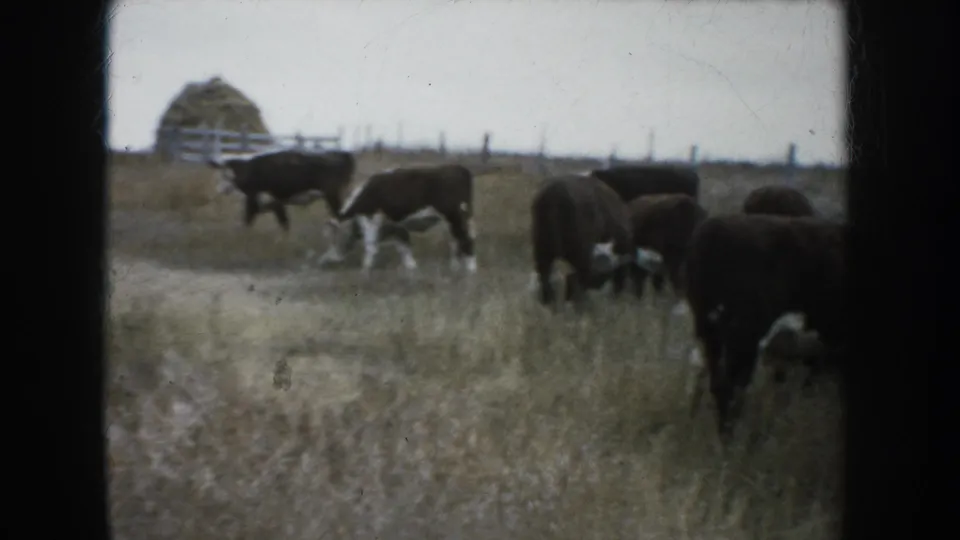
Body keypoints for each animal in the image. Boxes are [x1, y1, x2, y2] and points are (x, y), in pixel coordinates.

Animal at [207, 149, 356, 232]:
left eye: (227, 176)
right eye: (218, 175)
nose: (220, 190)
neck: (253, 171)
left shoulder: (269, 200)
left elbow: (251, 220)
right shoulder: (266, 203)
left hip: (332, 196)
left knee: (342, 217)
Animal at [317, 164, 476, 274]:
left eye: (332, 240)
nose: (324, 260)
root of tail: (459, 168)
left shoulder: (370, 219)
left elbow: (370, 246)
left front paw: (365, 270)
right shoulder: (396, 225)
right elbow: (404, 247)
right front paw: (411, 268)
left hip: (455, 217)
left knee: (465, 241)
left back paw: (471, 270)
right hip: (454, 221)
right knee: (455, 242)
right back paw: (455, 267)